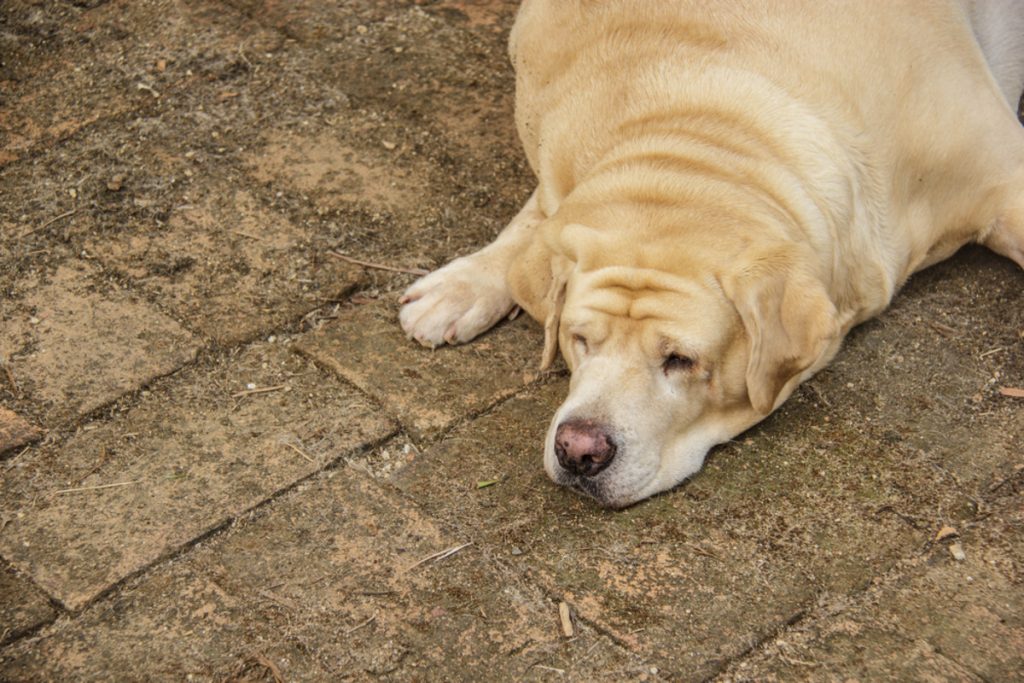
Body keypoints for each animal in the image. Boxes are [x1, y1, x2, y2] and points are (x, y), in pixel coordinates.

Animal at [397, 0, 1024, 507]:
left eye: (681, 360)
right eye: (579, 340)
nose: (578, 450)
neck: (699, 140)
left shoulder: (1001, 169)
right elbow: (536, 226)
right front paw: (467, 283)